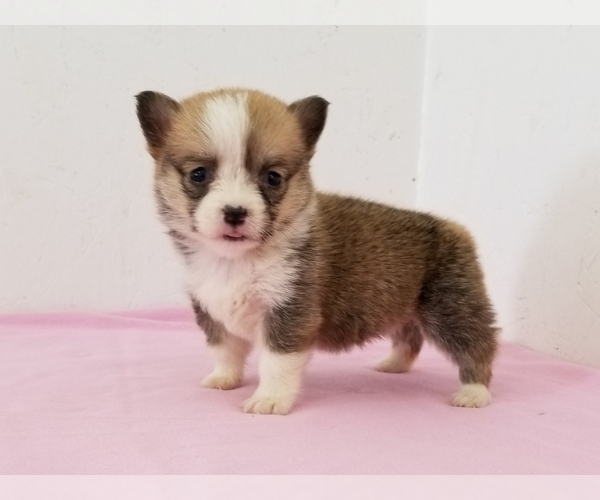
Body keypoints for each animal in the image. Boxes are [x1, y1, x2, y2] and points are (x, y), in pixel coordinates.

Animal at [138, 87, 500, 414]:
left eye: (272, 177)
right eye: (199, 174)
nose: (235, 212)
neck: (236, 260)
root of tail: (455, 228)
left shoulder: (289, 314)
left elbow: (276, 363)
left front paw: (269, 400)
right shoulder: (212, 312)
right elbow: (225, 351)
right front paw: (223, 379)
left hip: (451, 311)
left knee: (478, 345)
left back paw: (474, 392)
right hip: (407, 309)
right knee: (409, 338)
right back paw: (393, 365)